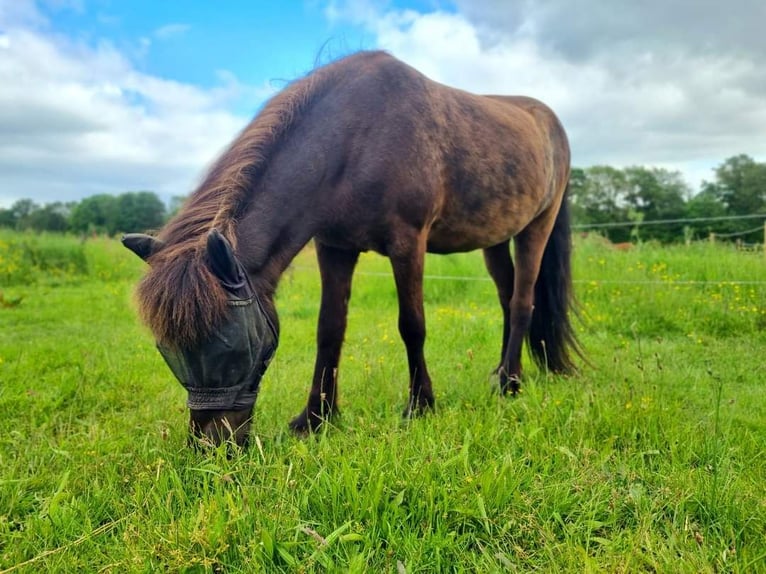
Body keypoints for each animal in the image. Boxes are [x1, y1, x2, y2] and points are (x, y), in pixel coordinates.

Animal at [123, 50, 584, 450]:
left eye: (236, 349)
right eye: (168, 351)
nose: (213, 447)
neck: (356, 137)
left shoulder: (408, 243)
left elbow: (412, 325)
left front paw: (420, 405)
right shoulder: (334, 248)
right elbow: (329, 329)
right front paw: (315, 417)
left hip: (536, 228)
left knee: (522, 302)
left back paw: (511, 384)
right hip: (496, 239)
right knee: (507, 298)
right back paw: (502, 371)